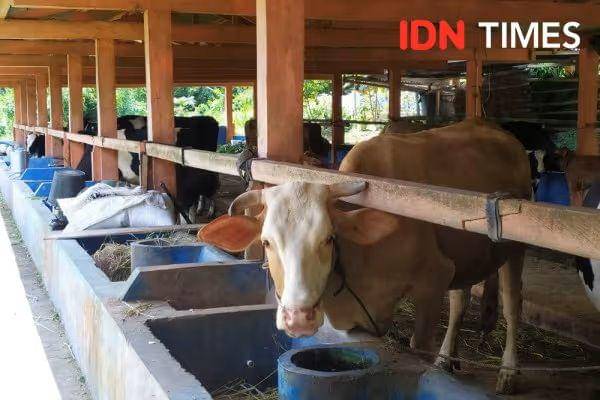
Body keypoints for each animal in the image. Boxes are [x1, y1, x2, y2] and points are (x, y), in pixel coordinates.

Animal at [199, 119, 531, 394]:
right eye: (266, 242)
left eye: (329, 238)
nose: (299, 318)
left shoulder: (433, 278)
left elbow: (419, 346)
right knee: (460, 300)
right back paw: (448, 358)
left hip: (515, 248)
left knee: (512, 306)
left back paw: (507, 372)